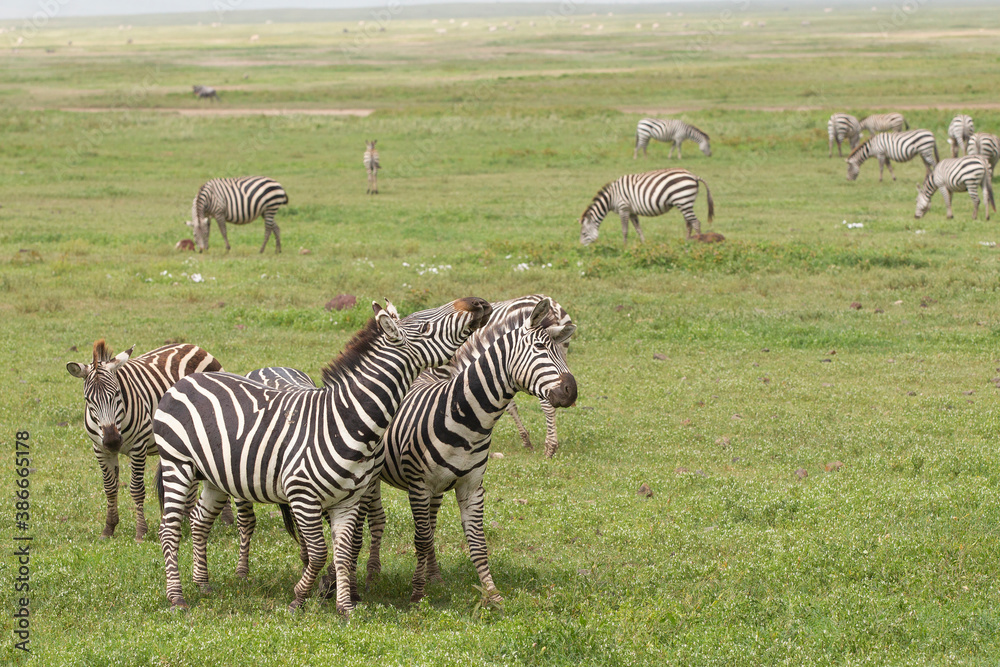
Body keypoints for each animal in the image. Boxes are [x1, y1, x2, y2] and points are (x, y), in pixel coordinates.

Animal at [66, 341, 223, 542]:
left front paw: (141, 531)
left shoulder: (138, 446)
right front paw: (109, 528)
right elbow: (110, 487)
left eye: (117, 393)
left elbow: (136, 489)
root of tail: (194, 346)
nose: (112, 441)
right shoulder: (100, 448)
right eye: (88, 399)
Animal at [153, 297, 493, 615]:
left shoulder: (347, 500)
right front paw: (299, 598)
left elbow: (343, 552)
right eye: (423, 327)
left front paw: (345, 608)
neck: (345, 419)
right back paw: (176, 598)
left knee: (199, 521)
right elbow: (318, 552)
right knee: (170, 529)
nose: (478, 302)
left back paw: (202, 583)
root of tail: (186, 380)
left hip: (214, 475)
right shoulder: (302, 495)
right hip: (177, 464)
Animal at [356, 297, 577, 604]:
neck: (466, 418)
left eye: (563, 351)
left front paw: (493, 595)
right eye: (540, 348)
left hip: (437, 488)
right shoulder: (418, 486)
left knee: (430, 524)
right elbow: (420, 540)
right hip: (373, 478)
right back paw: (371, 576)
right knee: (377, 520)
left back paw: (435, 576)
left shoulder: (471, 487)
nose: (571, 391)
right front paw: (417, 594)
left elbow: (477, 542)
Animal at [579, 168, 714, 244]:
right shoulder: (632, 211)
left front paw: (624, 246)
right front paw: (644, 244)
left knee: (695, 223)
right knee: (689, 223)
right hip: (684, 203)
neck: (611, 198)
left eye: (584, 234)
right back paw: (687, 242)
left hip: (684, 201)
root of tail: (694, 176)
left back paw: (698, 243)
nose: (582, 248)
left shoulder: (624, 208)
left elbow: (624, 230)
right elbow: (638, 229)